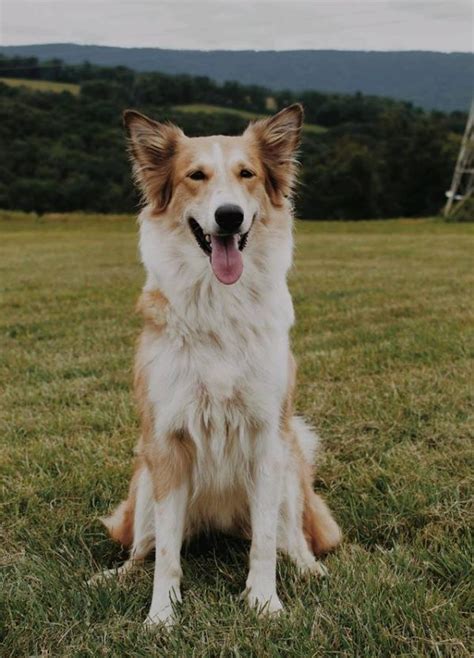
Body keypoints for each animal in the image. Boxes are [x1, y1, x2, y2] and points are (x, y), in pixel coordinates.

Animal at [92, 104, 338, 624]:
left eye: (247, 174)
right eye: (196, 176)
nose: (230, 216)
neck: (219, 303)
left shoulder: (268, 439)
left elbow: (264, 544)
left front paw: (264, 603)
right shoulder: (166, 442)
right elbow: (166, 554)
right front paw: (160, 617)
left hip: (290, 466)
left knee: (292, 537)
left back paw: (308, 568)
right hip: (144, 478)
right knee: (142, 547)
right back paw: (117, 574)